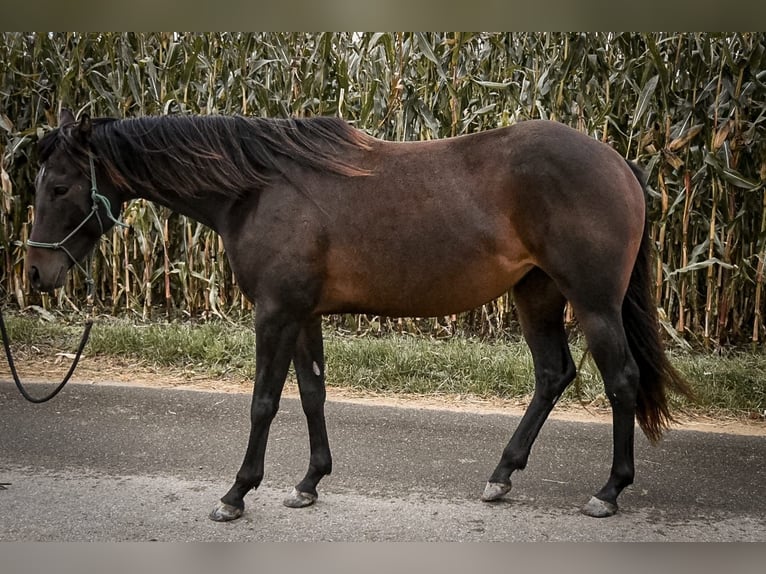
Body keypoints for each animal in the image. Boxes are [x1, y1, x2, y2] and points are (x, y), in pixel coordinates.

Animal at [27, 109, 692, 528]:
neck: (259, 189)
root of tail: (619, 164)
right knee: (553, 374)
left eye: (58, 186)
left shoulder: (276, 314)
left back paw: (608, 491)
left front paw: (237, 493)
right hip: (538, 296)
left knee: (621, 382)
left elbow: (264, 402)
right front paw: (309, 483)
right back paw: (502, 475)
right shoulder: (302, 315)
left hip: (595, 304)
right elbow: (312, 393)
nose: (37, 272)